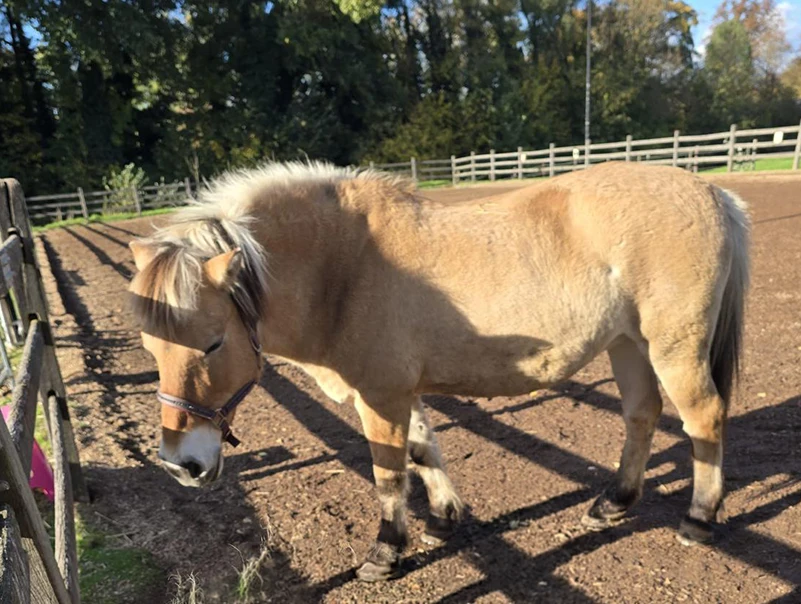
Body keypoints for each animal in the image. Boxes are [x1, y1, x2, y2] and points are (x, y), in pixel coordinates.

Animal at [127, 161, 749, 582]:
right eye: (150, 347)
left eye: (212, 342)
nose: (181, 464)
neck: (343, 266)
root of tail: (713, 191)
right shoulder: (399, 391)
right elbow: (423, 451)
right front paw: (444, 517)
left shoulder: (381, 395)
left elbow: (387, 472)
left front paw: (385, 550)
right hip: (628, 344)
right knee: (642, 415)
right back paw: (614, 502)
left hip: (674, 347)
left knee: (704, 420)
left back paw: (699, 518)